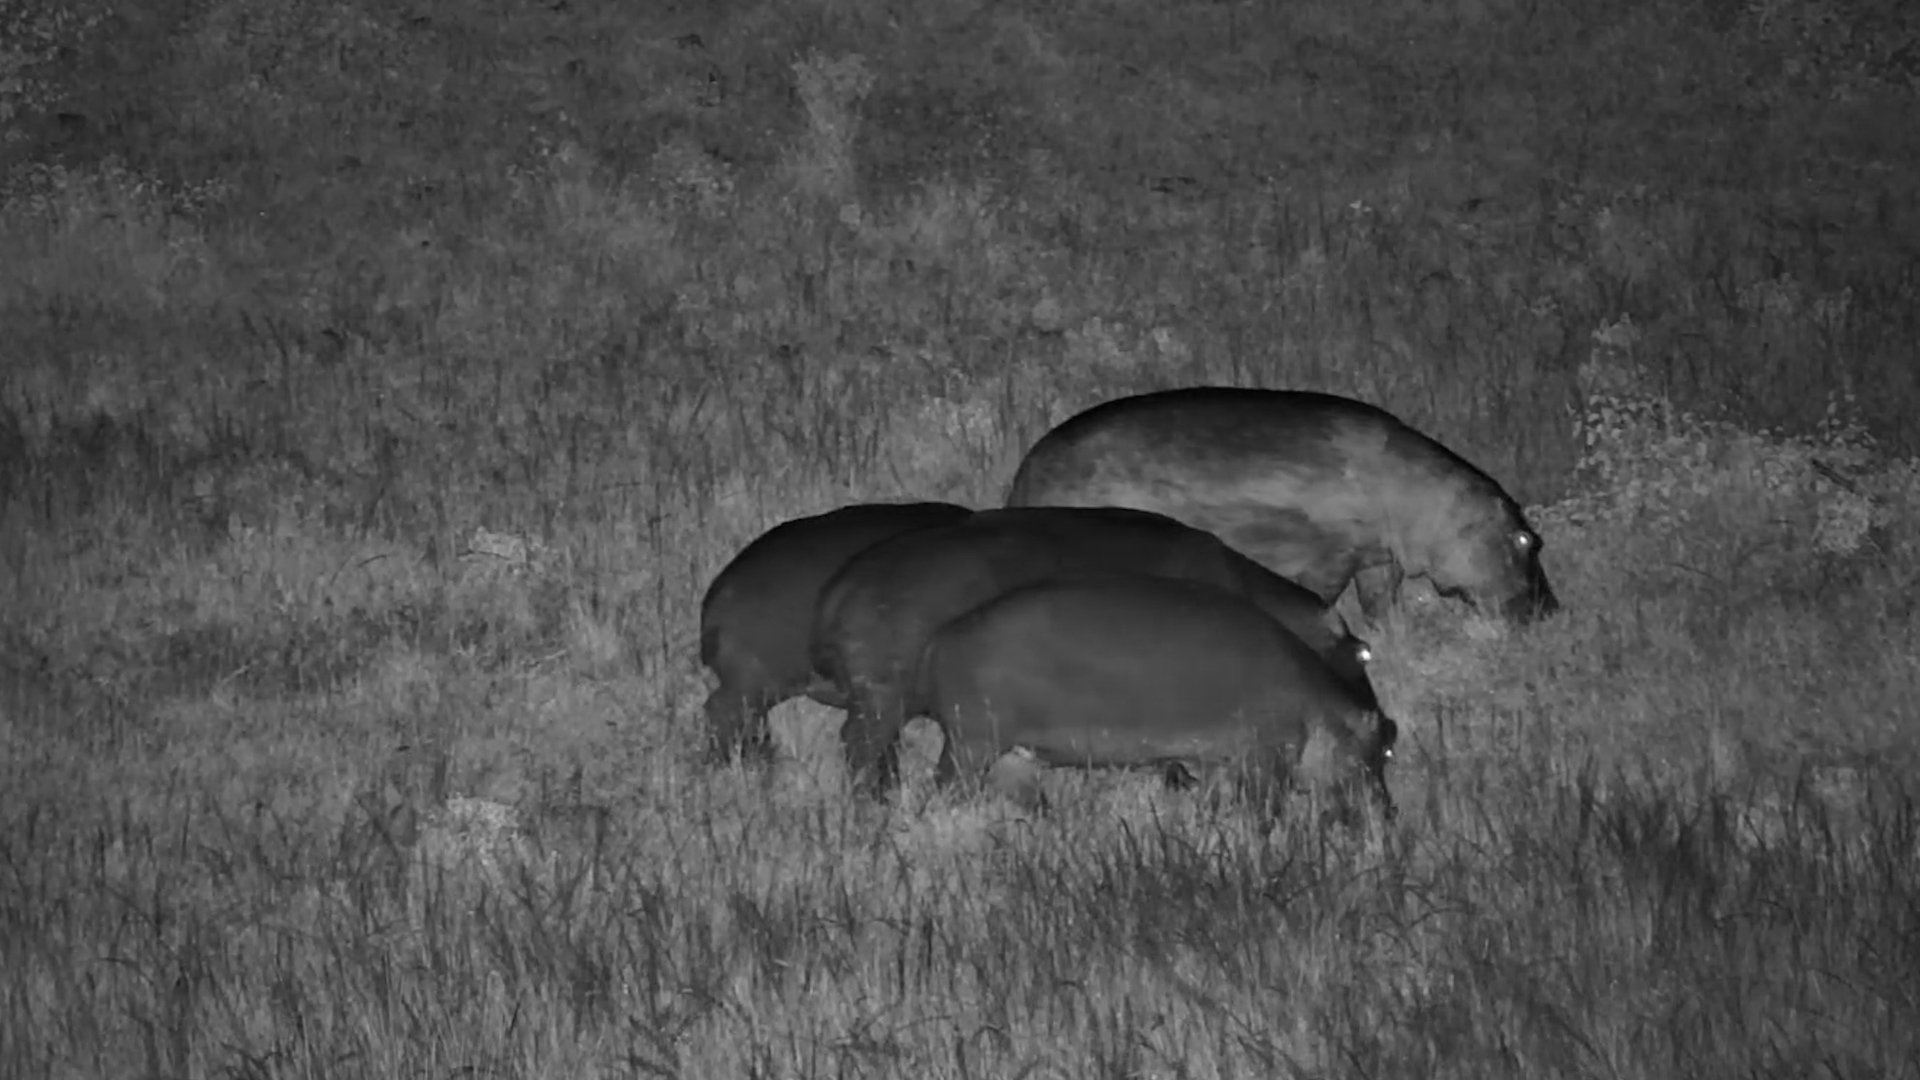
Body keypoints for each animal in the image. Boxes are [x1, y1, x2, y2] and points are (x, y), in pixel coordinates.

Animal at [920, 575, 1398, 821]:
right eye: (1380, 751)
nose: (1388, 813)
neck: (1321, 709)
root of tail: (940, 638)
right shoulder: (1267, 754)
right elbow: (1265, 806)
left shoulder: (1220, 758)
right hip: (973, 744)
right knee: (945, 787)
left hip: (1012, 755)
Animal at [1005, 387, 1558, 625]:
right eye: (1529, 539)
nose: (1553, 610)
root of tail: (1024, 477)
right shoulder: (1333, 555)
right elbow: (1322, 596)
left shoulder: (1376, 557)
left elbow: (1380, 601)